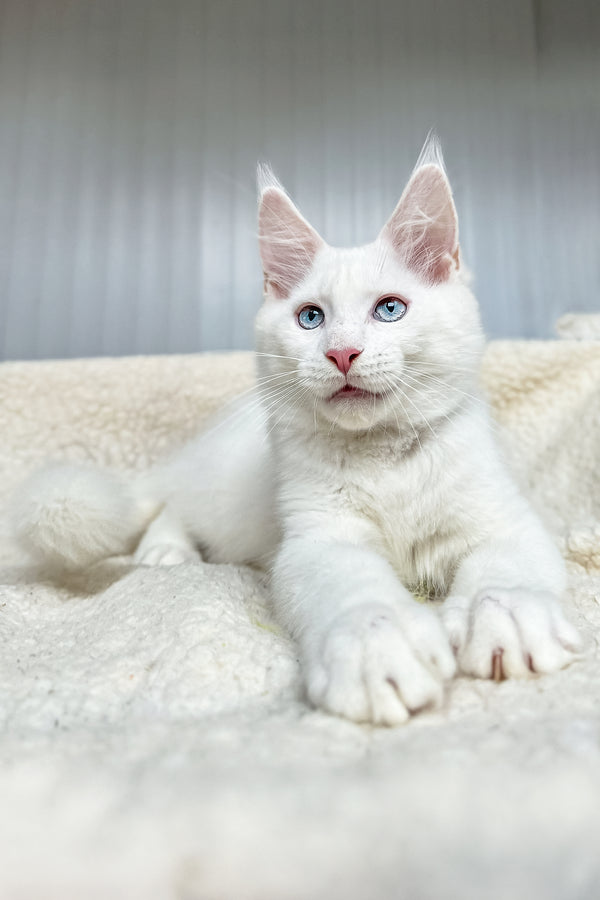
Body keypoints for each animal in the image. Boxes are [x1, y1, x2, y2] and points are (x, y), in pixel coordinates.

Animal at [14, 142, 580, 732]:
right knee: (173, 506)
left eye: (390, 309)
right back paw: (165, 552)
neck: (383, 455)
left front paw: (507, 621)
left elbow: (503, 576)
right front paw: (378, 649)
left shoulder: (503, 520)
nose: (342, 353)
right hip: (220, 501)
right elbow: (356, 593)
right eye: (311, 318)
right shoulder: (318, 541)